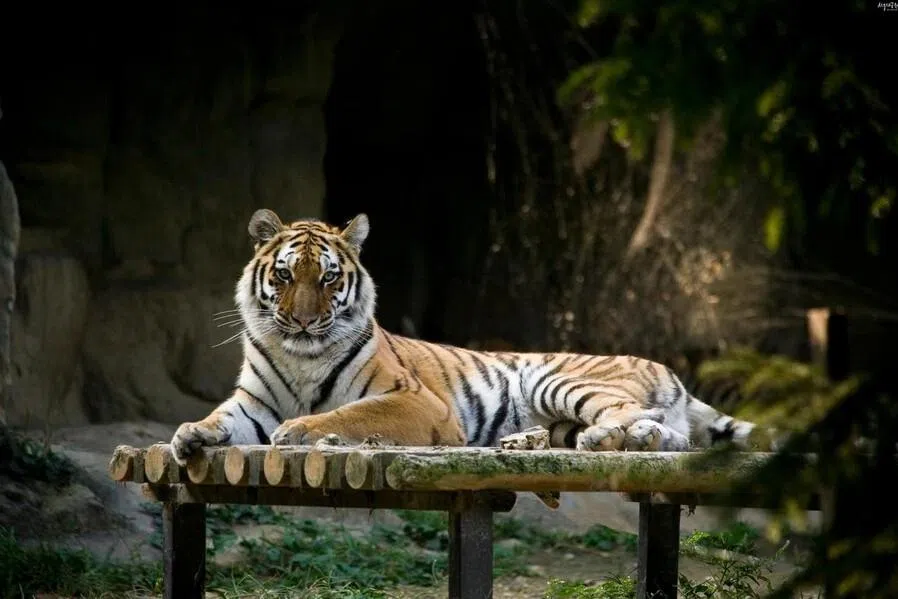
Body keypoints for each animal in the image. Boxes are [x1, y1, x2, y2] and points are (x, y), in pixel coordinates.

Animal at [170, 208, 774, 465]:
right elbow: (221, 419)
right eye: (284, 276)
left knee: (633, 417)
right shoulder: (253, 402)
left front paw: (302, 431)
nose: (300, 321)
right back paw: (536, 442)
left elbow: (351, 412)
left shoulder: (416, 401)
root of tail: (667, 368)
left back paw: (600, 439)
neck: (300, 356)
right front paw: (189, 436)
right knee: (673, 437)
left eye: (328, 279)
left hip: (558, 380)